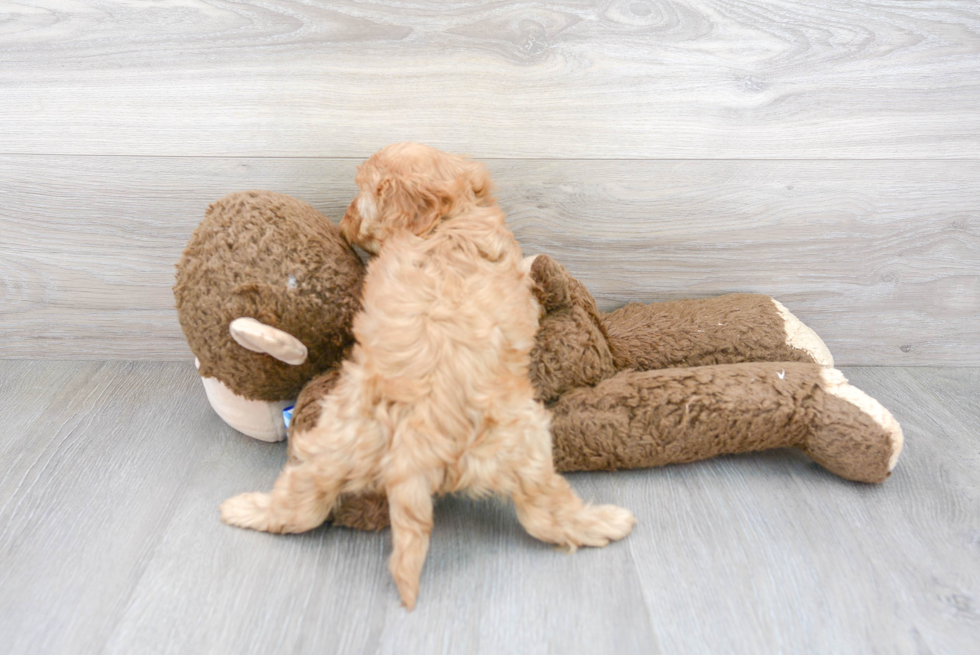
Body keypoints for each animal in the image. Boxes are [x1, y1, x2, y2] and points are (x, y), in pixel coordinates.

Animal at [220, 142, 636, 608]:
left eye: (360, 195)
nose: (343, 221)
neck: (446, 220)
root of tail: (414, 444)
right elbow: (531, 273)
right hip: (523, 443)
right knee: (543, 514)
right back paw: (607, 521)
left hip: (334, 443)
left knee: (301, 507)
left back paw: (243, 509)